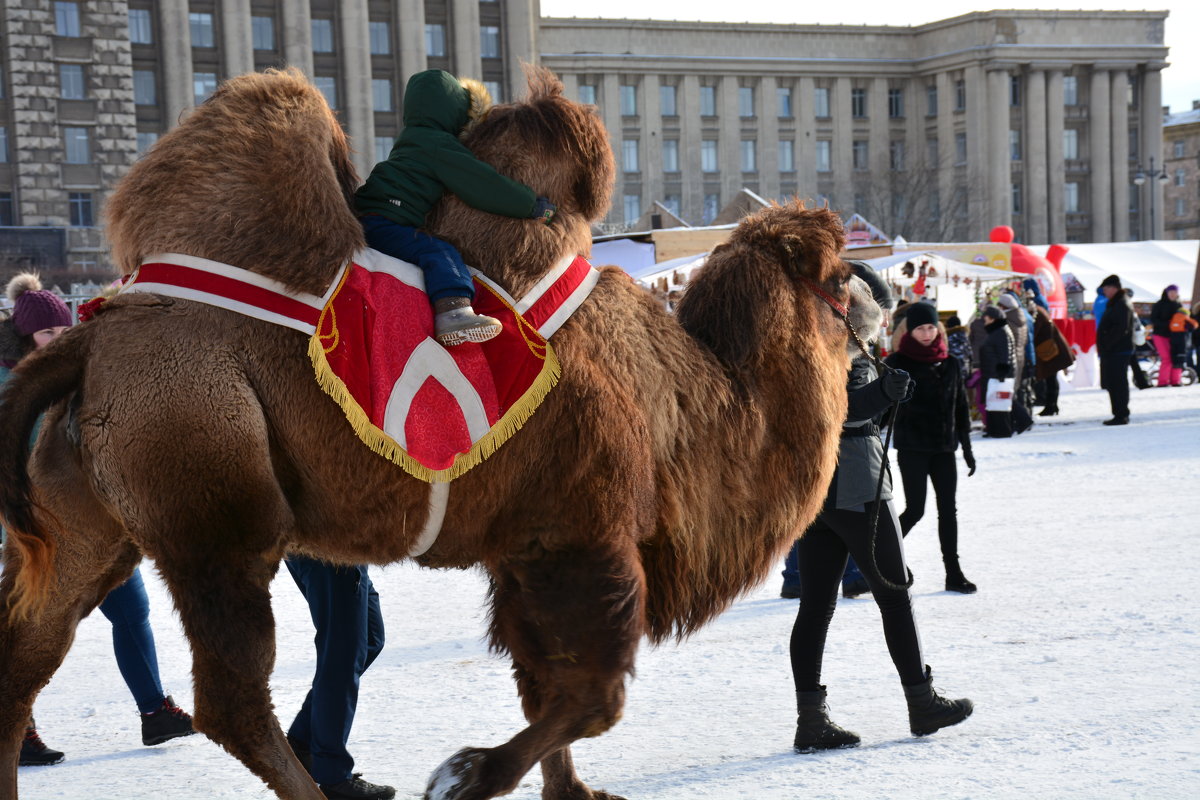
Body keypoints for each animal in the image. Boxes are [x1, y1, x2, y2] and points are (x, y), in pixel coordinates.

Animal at [0, 68, 868, 800]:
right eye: (834, 279)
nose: (874, 300)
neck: (680, 401)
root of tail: (85, 342)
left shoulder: (523, 548)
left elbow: (545, 681)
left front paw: (571, 791)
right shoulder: (583, 532)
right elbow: (594, 692)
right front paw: (467, 773)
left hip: (94, 526)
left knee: (26, 658)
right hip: (216, 514)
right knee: (231, 697)